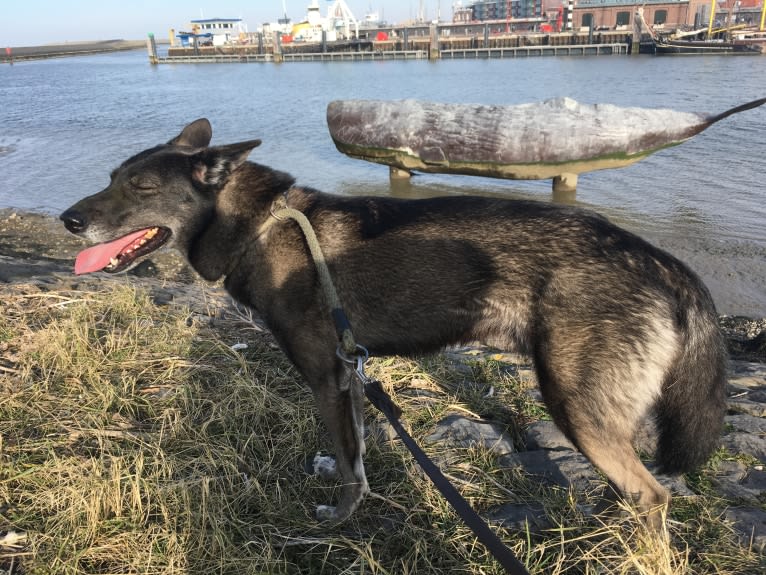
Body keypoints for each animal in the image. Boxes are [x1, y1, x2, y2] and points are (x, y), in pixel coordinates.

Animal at [60, 119, 728, 528]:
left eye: (142, 186)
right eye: (113, 178)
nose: (68, 220)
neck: (262, 226)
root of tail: (661, 261)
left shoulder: (327, 380)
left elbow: (348, 464)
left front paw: (340, 519)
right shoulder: (348, 376)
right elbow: (354, 455)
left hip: (576, 405)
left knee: (652, 495)